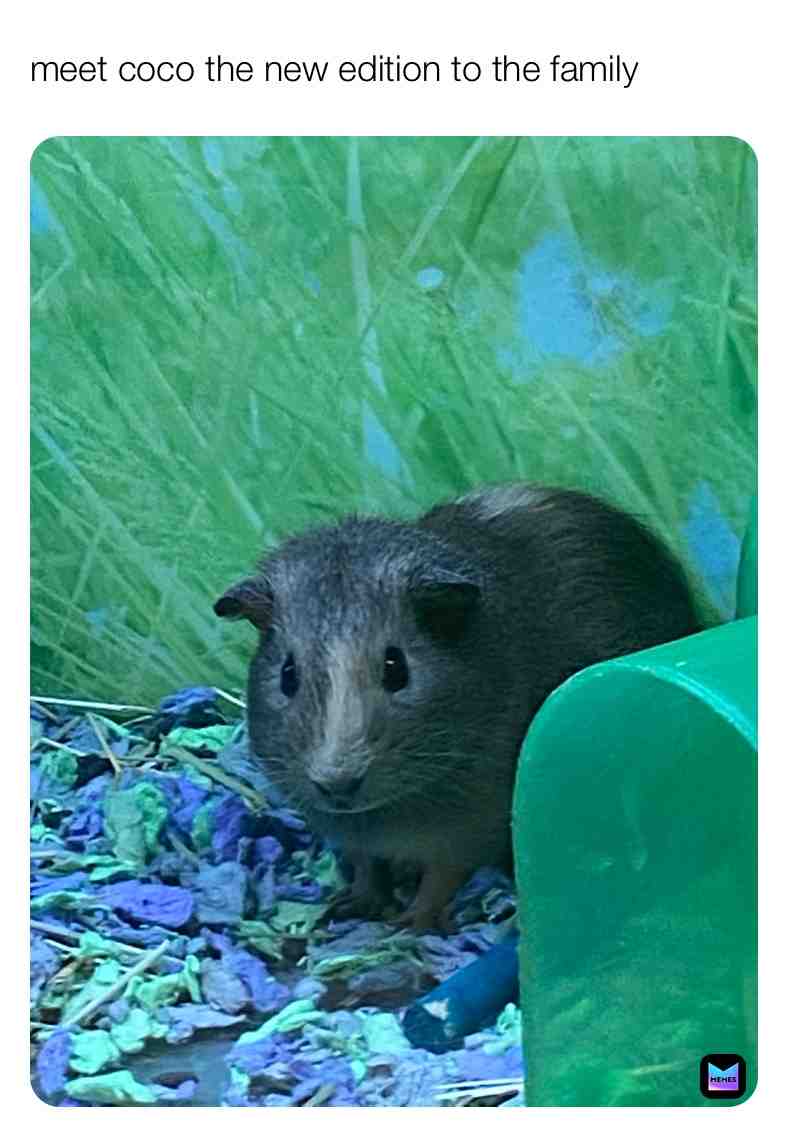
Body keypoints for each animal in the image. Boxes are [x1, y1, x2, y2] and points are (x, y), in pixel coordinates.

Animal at [214, 484, 698, 931]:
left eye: (396, 667)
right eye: (287, 674)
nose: (338, 783)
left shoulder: (468, 830)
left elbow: (441, 878)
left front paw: (409, 924)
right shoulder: (354, 838)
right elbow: (369, 868)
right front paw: (352, 906)